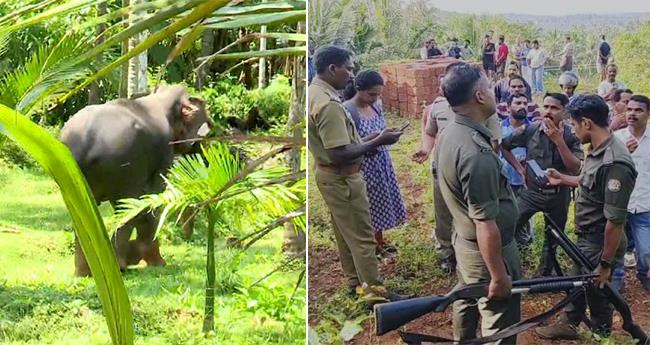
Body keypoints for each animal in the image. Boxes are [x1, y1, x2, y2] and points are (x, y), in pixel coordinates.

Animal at [60, 86, 213, 276]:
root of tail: (83, 143)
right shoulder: (163, 150)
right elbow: (153, 197)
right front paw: (157, 263)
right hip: (124, 163)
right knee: (125, 207)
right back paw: (120, 266)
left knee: (81, 214)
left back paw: (85, 272)